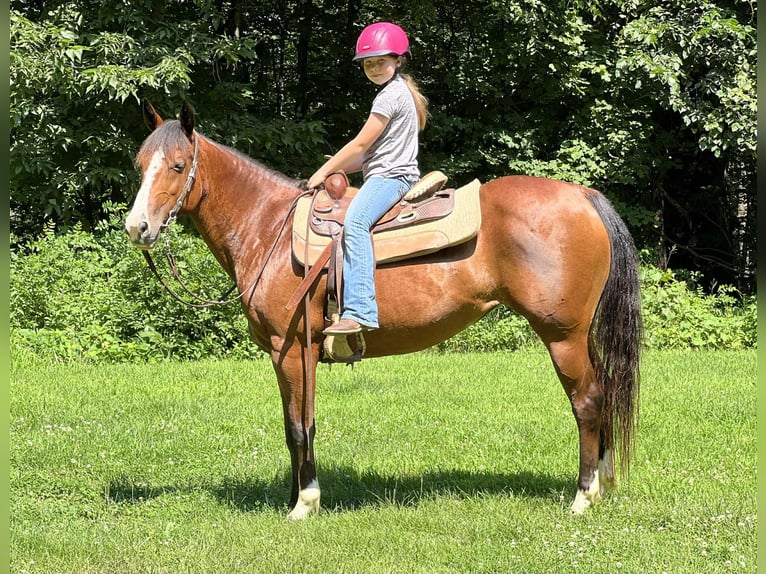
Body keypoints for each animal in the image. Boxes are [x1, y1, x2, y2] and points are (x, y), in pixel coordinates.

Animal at [125, 101, 642, 520]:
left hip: (562, 336)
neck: (267, 226)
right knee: (604, 393)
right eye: (140, 165)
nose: (138, 227)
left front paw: (304, 504)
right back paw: (601, 483)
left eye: (177, 165)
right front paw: (295, 497)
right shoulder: (288, 354)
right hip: (580, 336)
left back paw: (582, 497)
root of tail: (582, 196)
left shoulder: (291, 350)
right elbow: (296, 426)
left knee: (587, 402)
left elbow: (299, 426)